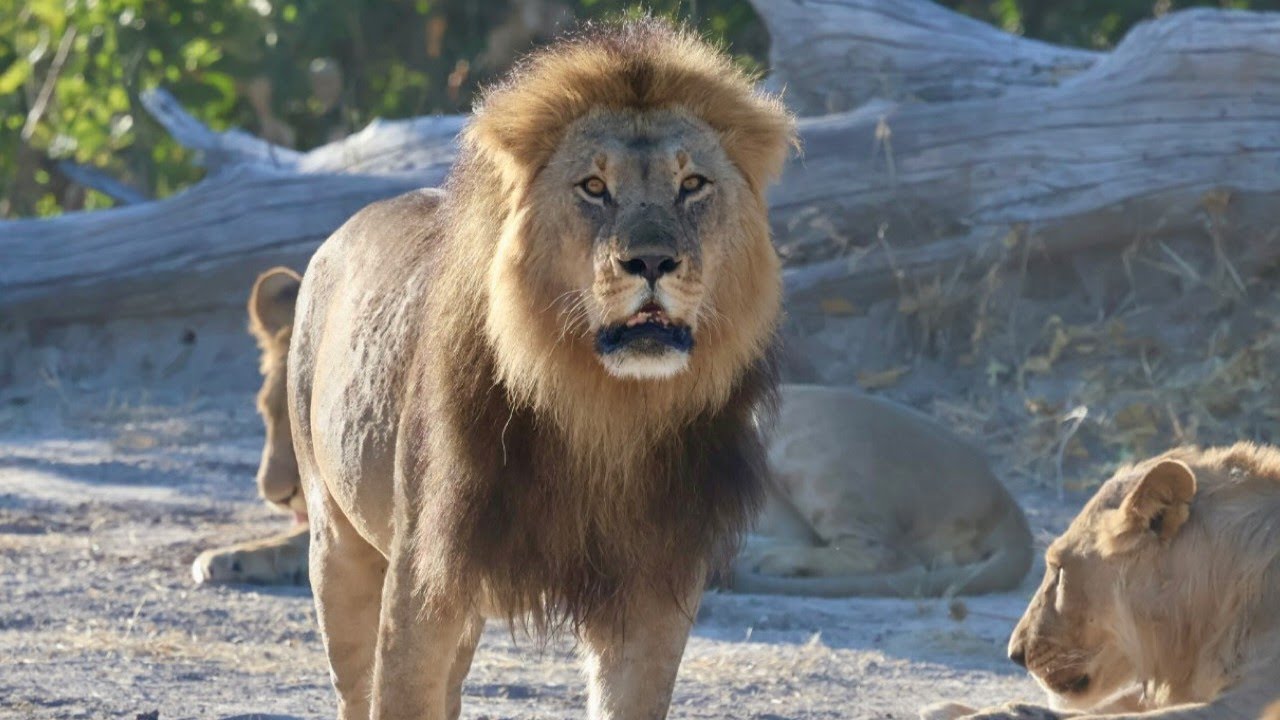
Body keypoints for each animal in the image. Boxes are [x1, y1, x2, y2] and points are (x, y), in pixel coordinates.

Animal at [287, 20, 794, 720]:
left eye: (692, 184)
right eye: (593, 187)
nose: (652, 262)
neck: (604, 411)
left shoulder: (653, 590)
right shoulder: (424, 572)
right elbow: (399, 693)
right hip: (337, 543)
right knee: (355, 683)